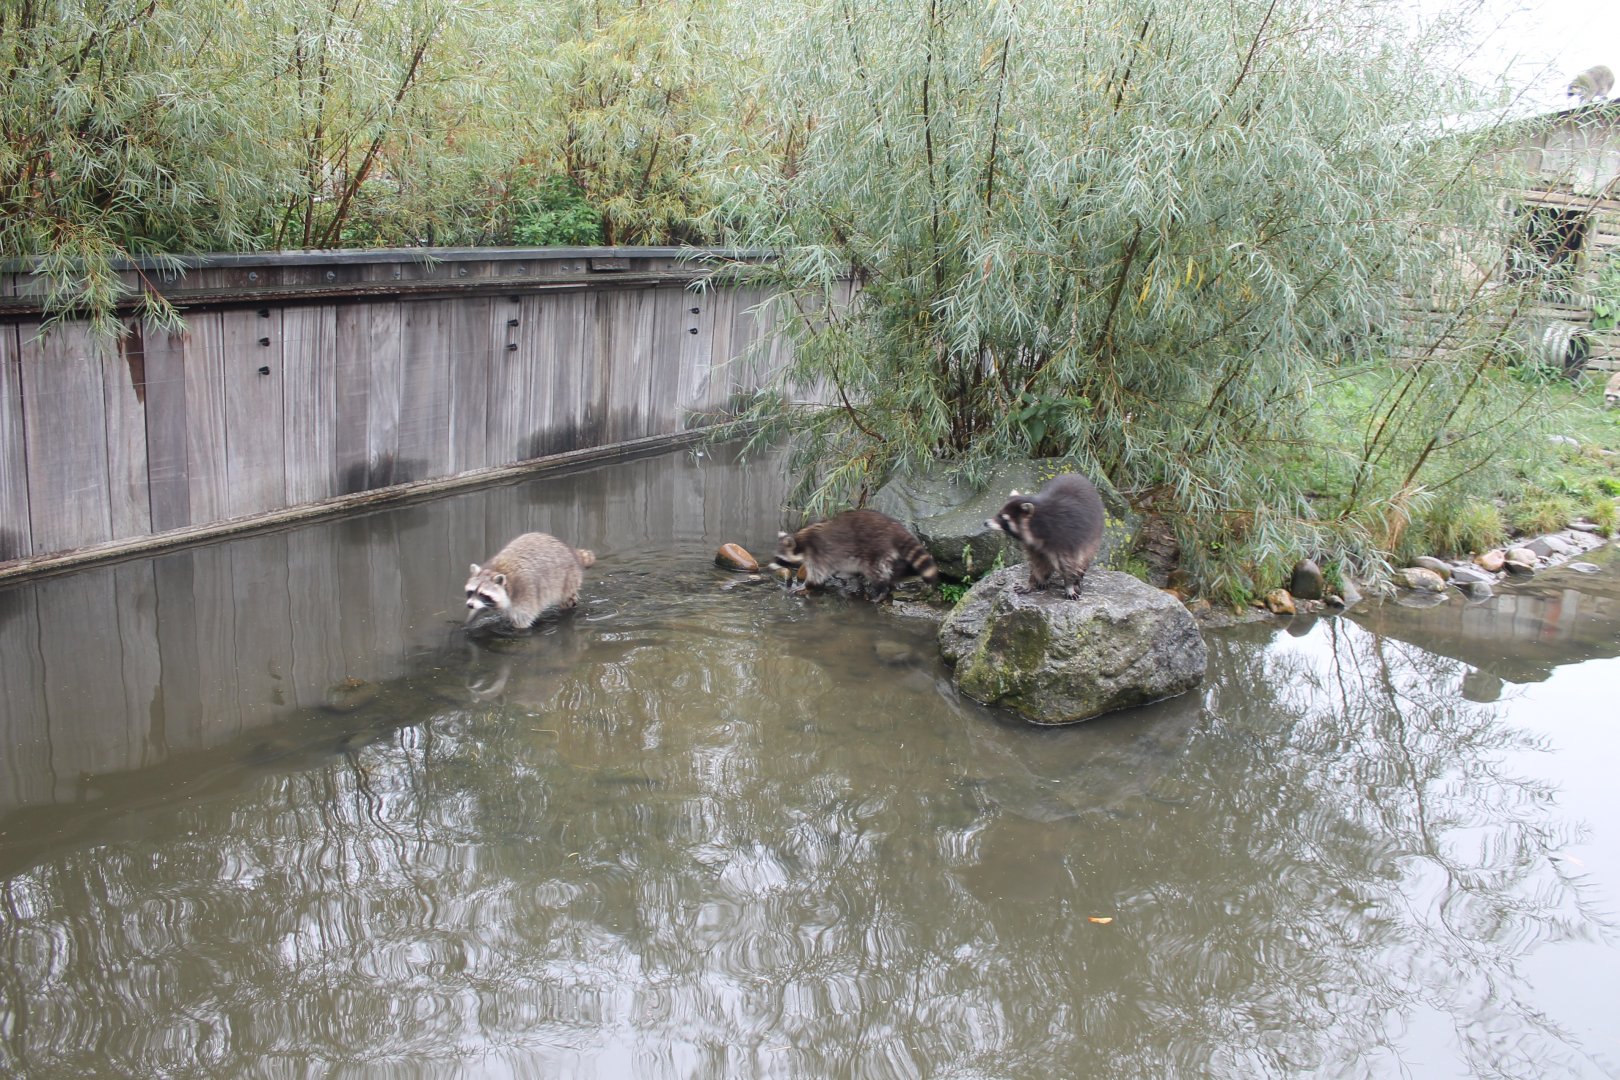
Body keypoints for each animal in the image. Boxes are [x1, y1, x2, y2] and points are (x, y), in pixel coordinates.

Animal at [464, 532, 596, 631]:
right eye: (471, 591)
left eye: (482, 594)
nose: (470, 605)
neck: (494, 570)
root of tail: (570, 551)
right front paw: (471, 617)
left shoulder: (525, 593)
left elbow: (523, 620)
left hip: (568, 578)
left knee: (568, 600)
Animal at [770, 509, 939, 601]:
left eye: (780, 559)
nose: (770, 566)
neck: (801, 541)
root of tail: (893, 526)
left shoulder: (817, 553)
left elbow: (818, 574)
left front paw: (806, 585)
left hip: (875, 548)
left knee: (875, 571)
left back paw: (882, 588)